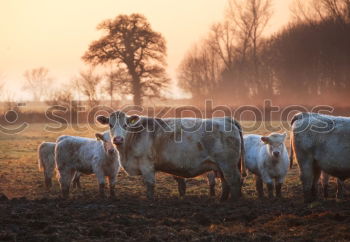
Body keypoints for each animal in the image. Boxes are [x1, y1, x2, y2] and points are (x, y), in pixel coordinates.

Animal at [95, 111, 246, 200]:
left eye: (126, 125)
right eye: (110, 124)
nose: (117, 139)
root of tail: (226, 119)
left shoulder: (147, 165)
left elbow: (150, 185)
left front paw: (150, 201)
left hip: (228, 165)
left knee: (234, 181)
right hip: (221, 166)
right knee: (225, 183)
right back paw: (222, 201)